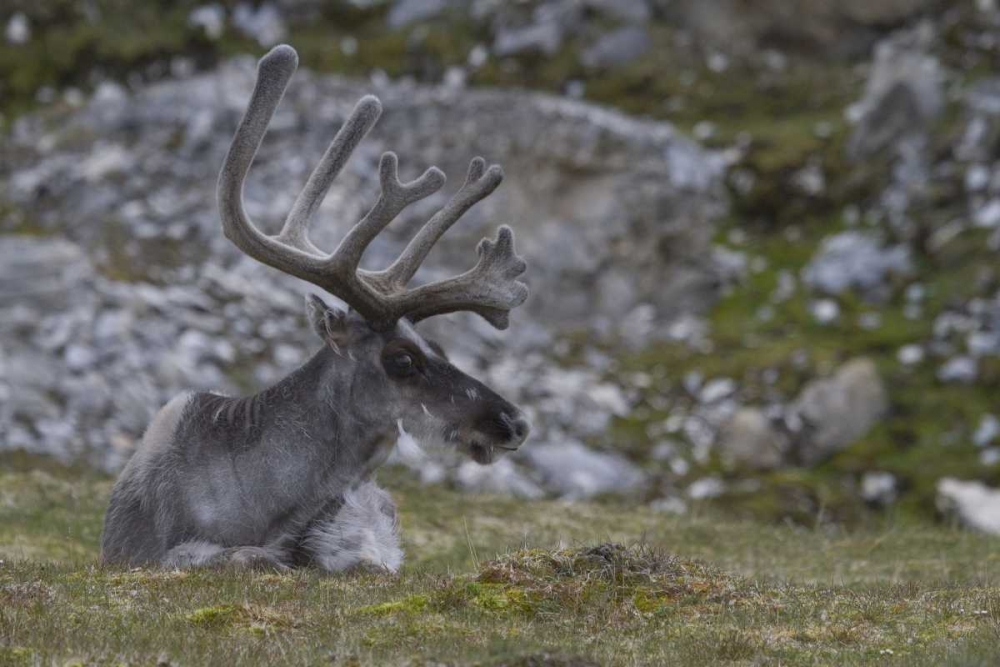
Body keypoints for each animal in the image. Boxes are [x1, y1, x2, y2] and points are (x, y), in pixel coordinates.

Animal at [100, 44, 531, 573]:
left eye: (440, 345)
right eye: (402, 360)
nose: (514, 422)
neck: (267, 507)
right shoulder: (152, 554)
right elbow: (244, 556)